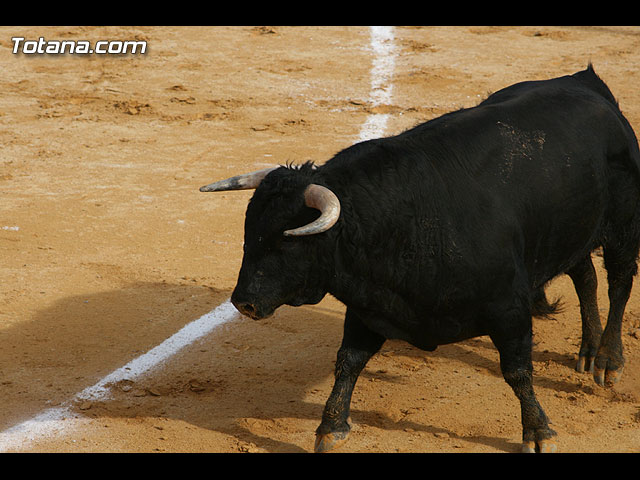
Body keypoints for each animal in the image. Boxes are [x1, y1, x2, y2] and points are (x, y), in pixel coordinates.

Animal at [200, 65, 640, 452]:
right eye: (248, 234)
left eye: (286, 241)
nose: (243, 302)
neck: (404, 221)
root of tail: (586, 82)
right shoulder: (369, 306)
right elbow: (348, 360)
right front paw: (330, 428)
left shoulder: (509, 308)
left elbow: (517, 371)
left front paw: (539, 432)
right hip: (571, 228)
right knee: (585, 275)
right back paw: (587, 351)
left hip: (622, 225)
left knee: (619, 282)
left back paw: (608, 360)